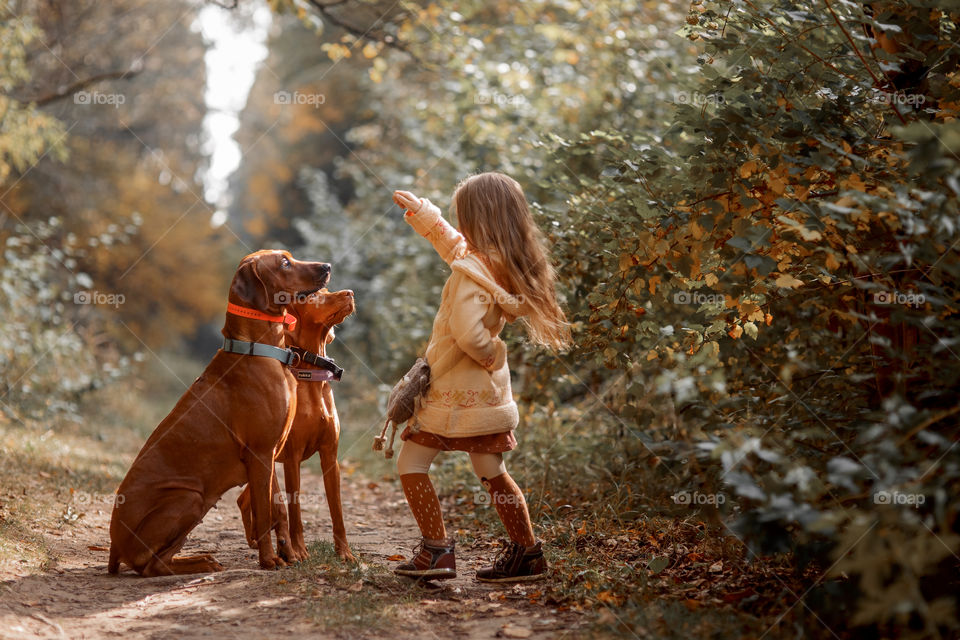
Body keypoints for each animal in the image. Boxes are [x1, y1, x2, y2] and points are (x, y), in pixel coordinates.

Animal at [110, 249, 330, 576]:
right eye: (284, 263)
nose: (327, 266)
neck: (259, 349)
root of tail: (113, 544)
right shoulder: (260, 452)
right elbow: (264, 513)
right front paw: (269, 560)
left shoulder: (269, 451)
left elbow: (278, 507)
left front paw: (289, 554)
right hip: (190, 497)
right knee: (149, 566)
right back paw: (197, 563)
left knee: (160, 560)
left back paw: (200, 560)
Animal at [238, 288, 358, 564]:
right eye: (312, 296)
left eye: (328, 290)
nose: (350, 293)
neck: (311, 376)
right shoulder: (292, 458)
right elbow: (294, 511)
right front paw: (300, 550)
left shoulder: (330, 456)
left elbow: (337, 511)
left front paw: (344, 552)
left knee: (245, 499)